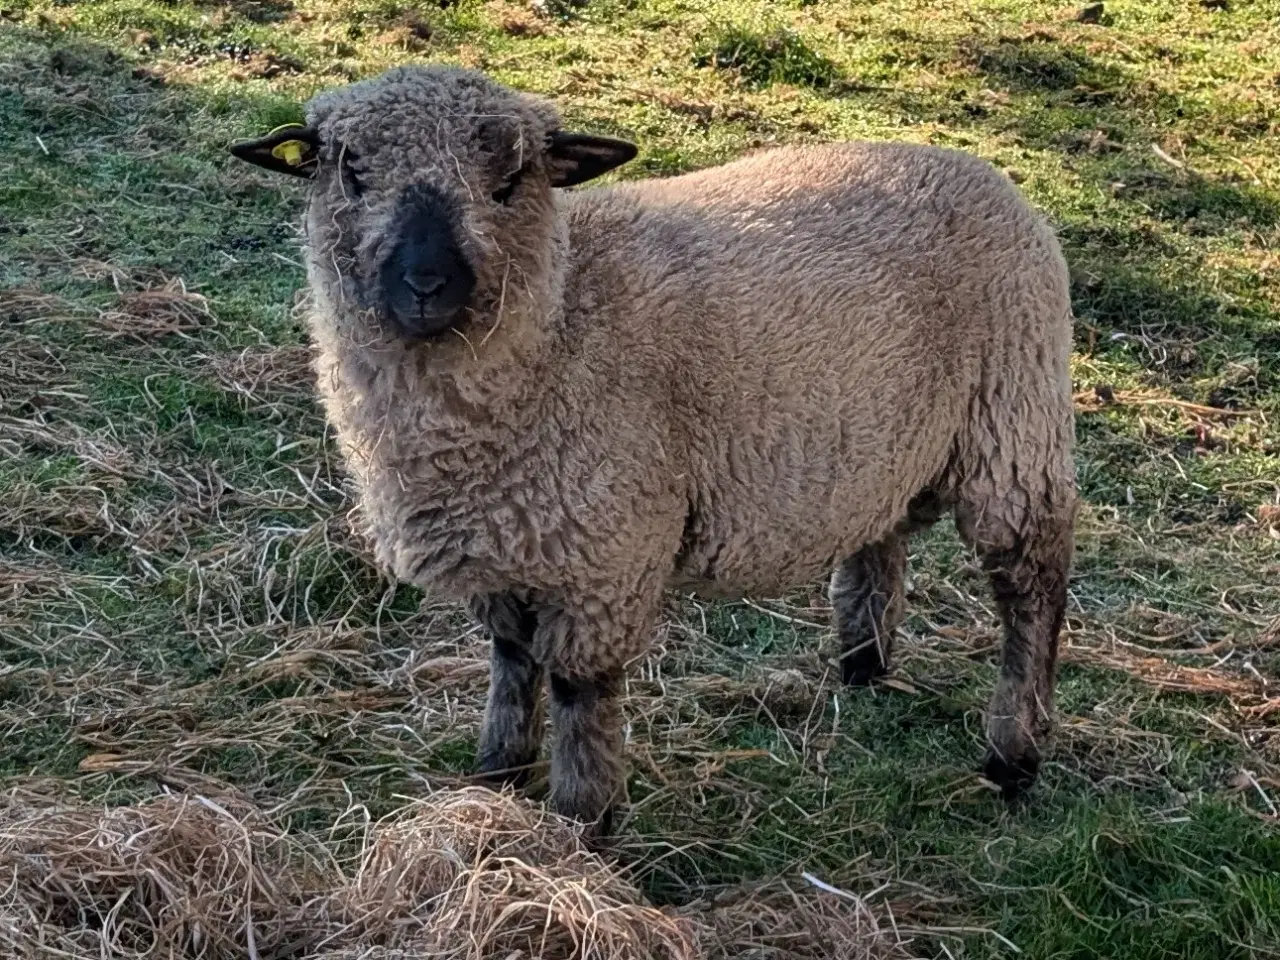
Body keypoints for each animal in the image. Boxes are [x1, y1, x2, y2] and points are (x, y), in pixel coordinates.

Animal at [232, 64, 1080, 839]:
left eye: (510, 181)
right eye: (349, 171)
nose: (426, 283)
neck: (561, 322)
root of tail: (978, 169)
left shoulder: (604, 556)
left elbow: (580, 695)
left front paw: (581, 829)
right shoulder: (509, 546)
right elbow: (510, 663)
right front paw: (496, 781)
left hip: (1015, 422)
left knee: (1032, 586)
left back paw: (1014, 755)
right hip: (881, 437)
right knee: (884, 530)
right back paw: (864, 665)